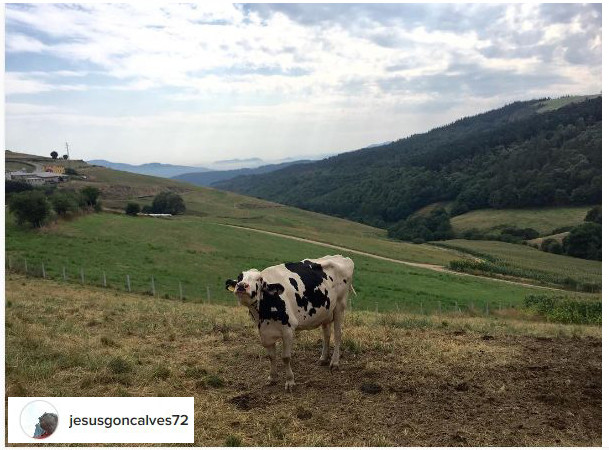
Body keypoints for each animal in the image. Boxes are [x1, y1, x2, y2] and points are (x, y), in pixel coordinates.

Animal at [226, 255, 354, 392]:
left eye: (259, 279)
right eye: (240, 277)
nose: (241, 285)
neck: (263, 314)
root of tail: (341, 257)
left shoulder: (288, 331)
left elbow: (286, 357)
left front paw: (290, 381)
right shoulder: (265, 333)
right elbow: (271, 356)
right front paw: (272, 378)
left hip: (339, 306)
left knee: (338, 334)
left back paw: (334, 362)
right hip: (325, 311)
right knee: (326, 334)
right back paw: (323, 358)